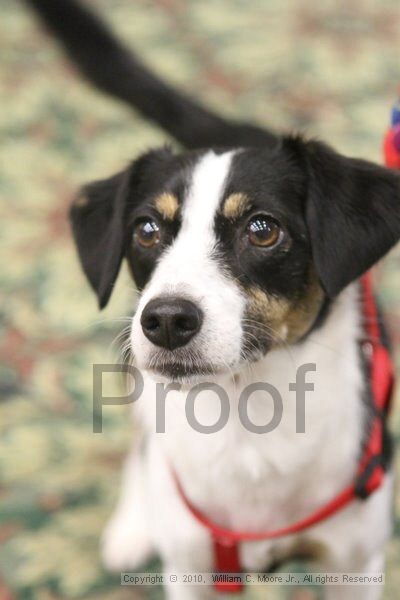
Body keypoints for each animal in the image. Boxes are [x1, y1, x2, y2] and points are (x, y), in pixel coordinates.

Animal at [25, 2, 400, 596]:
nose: (167, 320)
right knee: (141, 440)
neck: (248, 418)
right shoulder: (192, 568)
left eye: (263, 229)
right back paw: (133, 524)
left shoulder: (355, 563)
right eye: (147, 229)